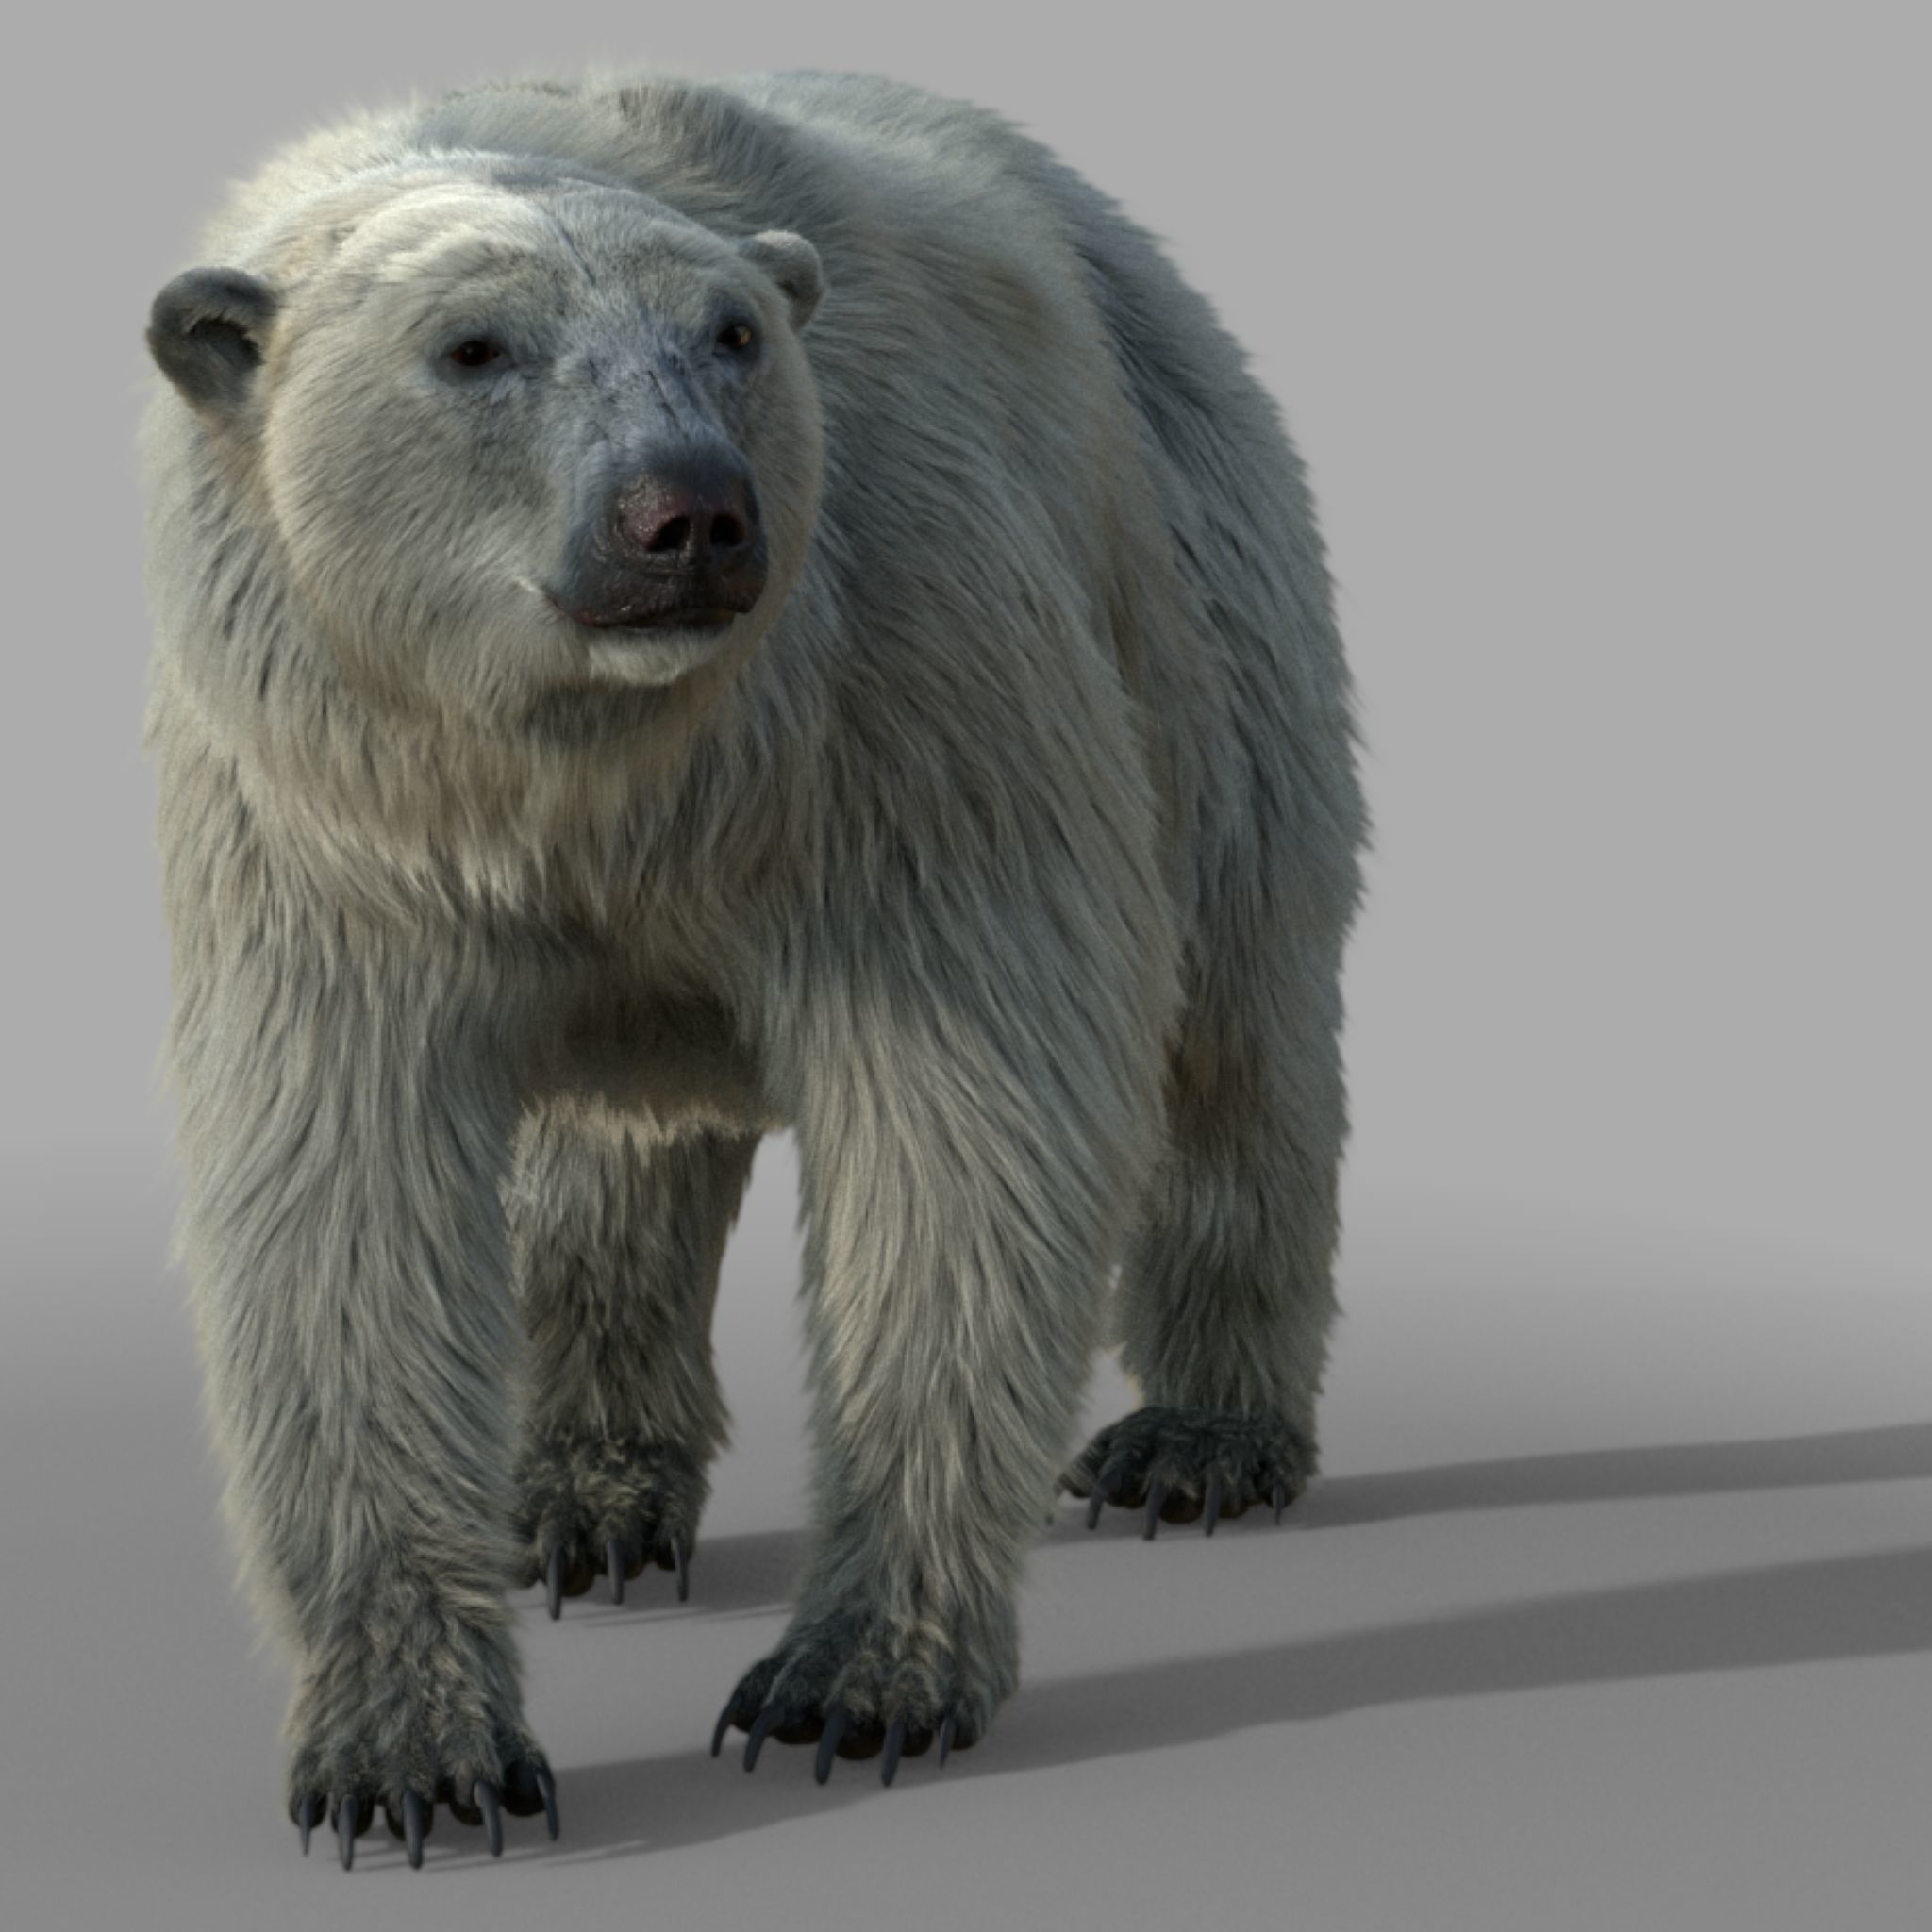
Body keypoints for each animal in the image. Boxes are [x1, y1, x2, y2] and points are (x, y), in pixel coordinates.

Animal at [138, 63, 1368, 1871]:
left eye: (730, 332)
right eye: (473, 346)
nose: (692, 514)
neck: (597, 765)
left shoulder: (904, 673)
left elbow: (968, 1126)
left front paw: (849, 1680)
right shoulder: (327, 815)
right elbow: (344, 1196)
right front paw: (411, 1758)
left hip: (1199, 579)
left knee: (1234, 1011)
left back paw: (1195, 1439)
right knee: (612, 1155)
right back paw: (585, 1492)